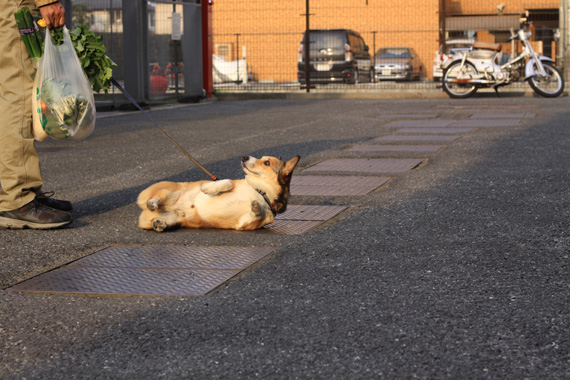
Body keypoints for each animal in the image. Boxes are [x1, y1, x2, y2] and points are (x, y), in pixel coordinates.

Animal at [136, 155, 300, 232]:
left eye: (267, 163)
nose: (244, 157)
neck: (261, 192)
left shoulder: (244, 224)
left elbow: (262, 214)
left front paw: (256, 207)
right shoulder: (232, 182)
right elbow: (226, 182)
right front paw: (207, 188)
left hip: (173, 219)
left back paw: (159, 224)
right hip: (171, 191)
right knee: (154, 199)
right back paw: (153, 203)